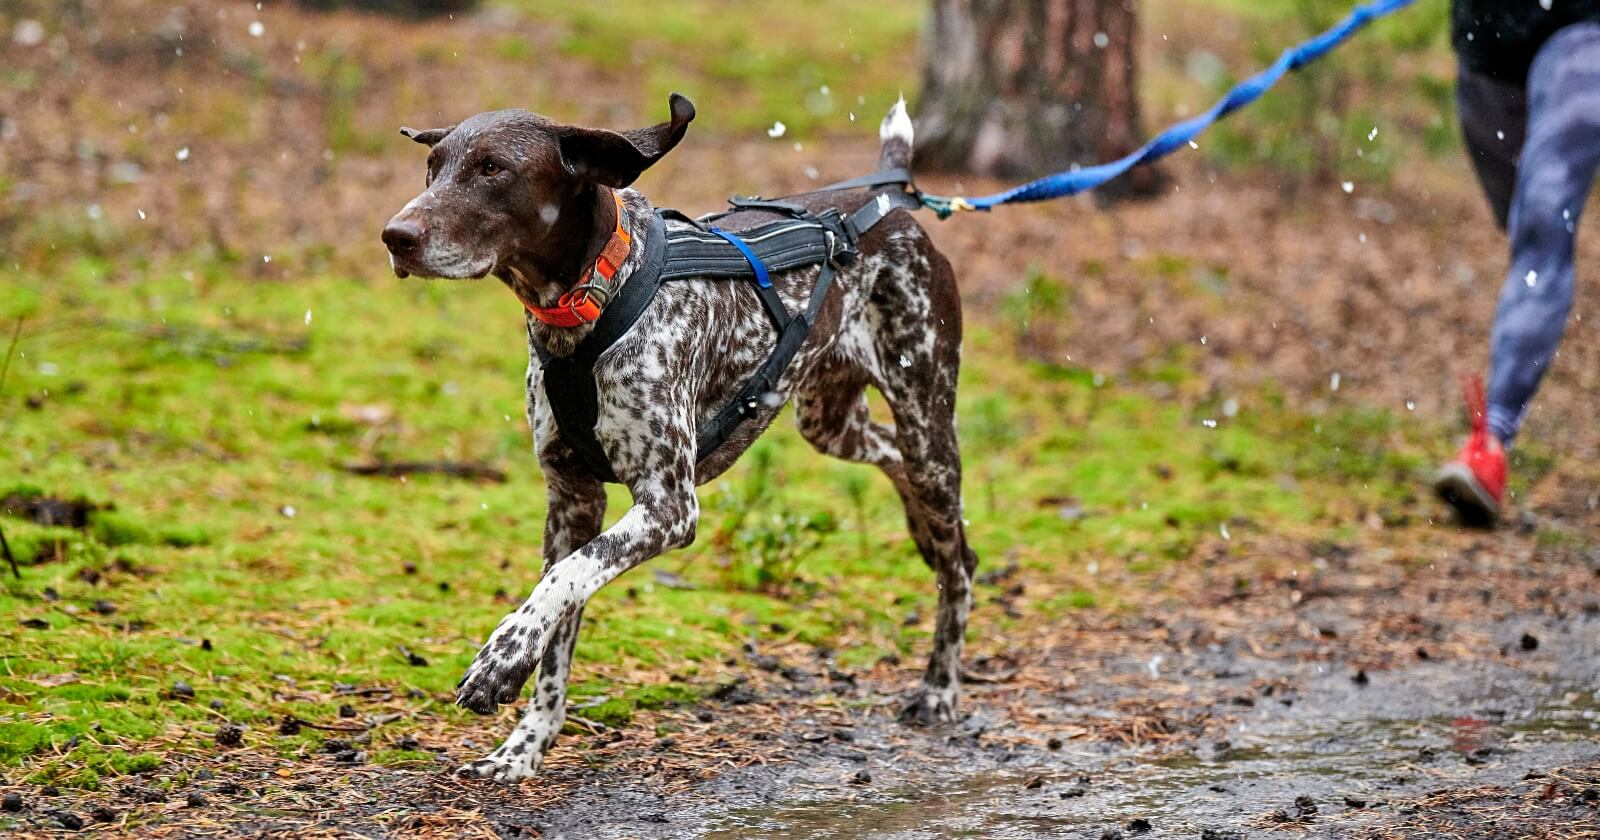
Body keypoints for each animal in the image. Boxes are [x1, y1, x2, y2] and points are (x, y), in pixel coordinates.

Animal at [380, 94, 972, 784]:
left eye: (493, 168)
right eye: (433, 167)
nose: (395, 236)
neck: (588, 305)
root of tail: (886, 202)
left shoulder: (667, 506)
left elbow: (562, 583)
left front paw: (502, 657)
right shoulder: (572, 502)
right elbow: (560, 628)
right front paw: (525, 745)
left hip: (927, 424)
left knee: (958, 560)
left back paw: (940, 684)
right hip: (830, 422)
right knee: (893, 462)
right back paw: (920, 530)